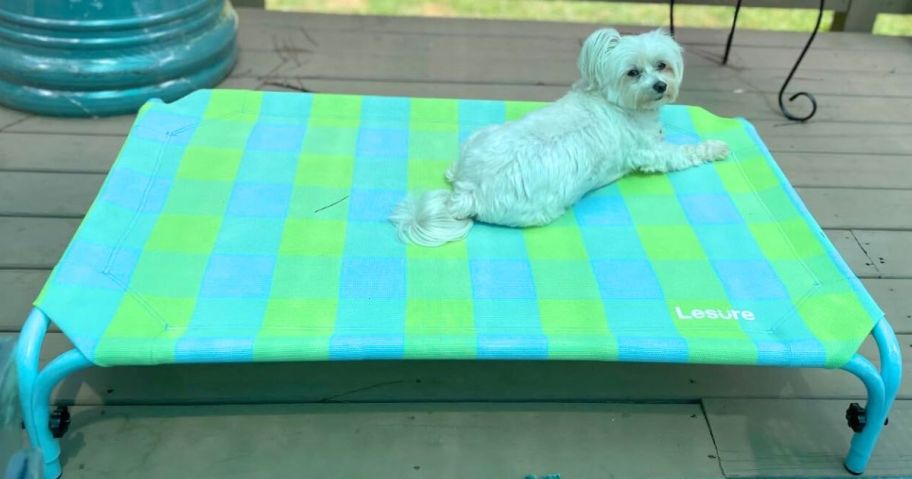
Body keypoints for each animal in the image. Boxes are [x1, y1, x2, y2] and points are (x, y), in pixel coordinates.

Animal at [388, 27, 732, 248]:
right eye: (633, 73)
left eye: (662, 65)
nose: (660, 85)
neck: (613, 100)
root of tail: (468, 192)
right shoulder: (651, 153)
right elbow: (685, 153)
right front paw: (715, 147)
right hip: (545, 208)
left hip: (479, 138)